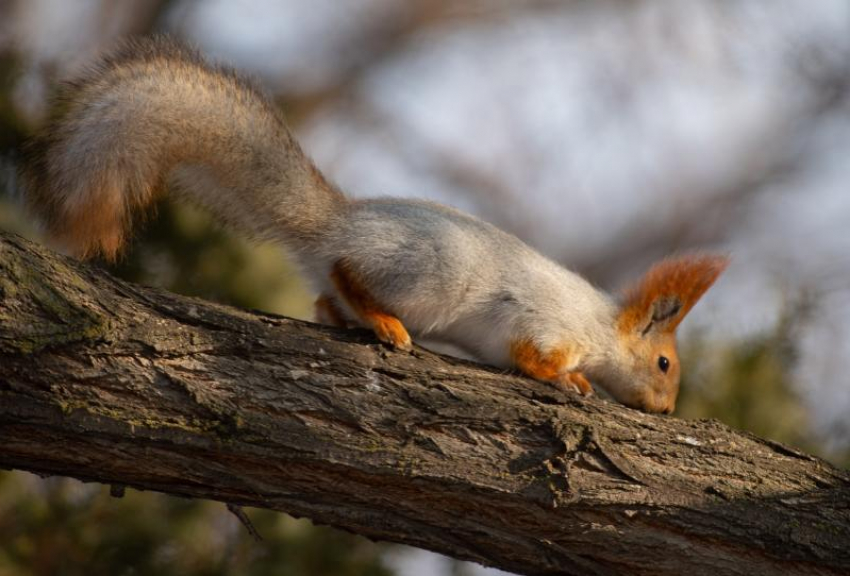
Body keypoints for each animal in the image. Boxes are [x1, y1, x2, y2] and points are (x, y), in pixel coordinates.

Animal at [23, 36, 728, 414]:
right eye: (664, 362)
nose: (668, 410)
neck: (599, 328)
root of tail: (332, 227)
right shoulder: (546, 324)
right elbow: (534, 359)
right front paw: (569, 380)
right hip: (428, 275)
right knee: (344, 277)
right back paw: (383, 322)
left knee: (323, 298)